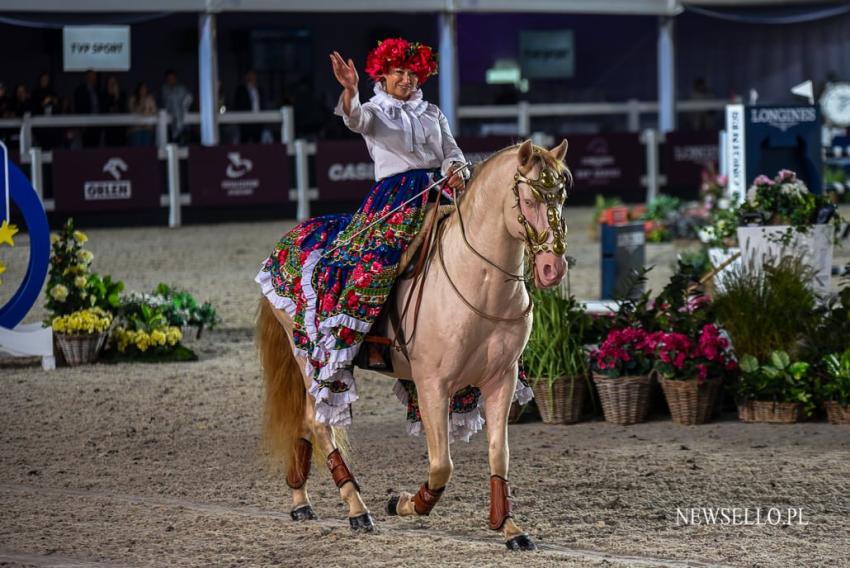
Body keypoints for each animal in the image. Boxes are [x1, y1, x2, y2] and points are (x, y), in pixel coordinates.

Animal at [255, 139, 568, 552]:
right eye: (529, 198)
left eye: (561, 196)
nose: (553, 269)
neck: (477, 280)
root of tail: (288, 239)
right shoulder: (433, 386)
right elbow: (441, 466)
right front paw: (403, 503)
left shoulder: (501, 379)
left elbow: (498, 455)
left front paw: (510, 528)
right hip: (310, 359)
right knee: (317, 423)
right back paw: (357, 509)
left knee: (306, 423)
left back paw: (300, 502)